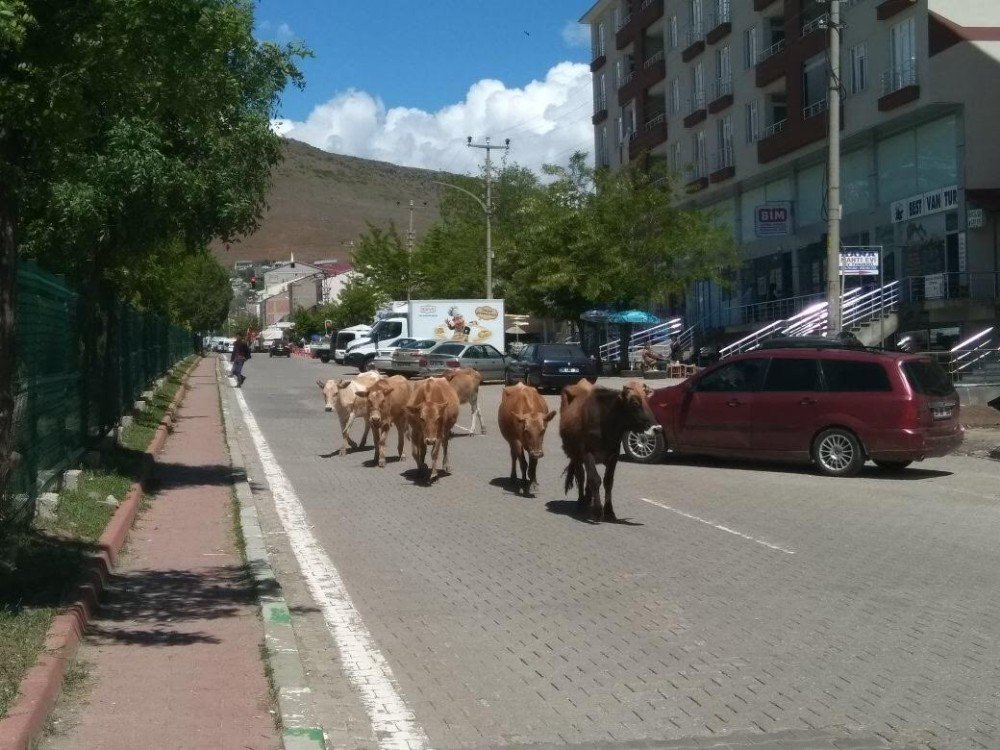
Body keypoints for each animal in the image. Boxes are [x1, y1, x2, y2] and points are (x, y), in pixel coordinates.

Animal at [560, 382, 660, 524]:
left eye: (647, 401)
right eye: (634, 403)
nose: (657, 428)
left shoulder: (614, 454)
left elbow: (608, 481)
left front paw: (609, 512)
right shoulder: (587, 453)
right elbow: (595, 479)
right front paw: (597, 512)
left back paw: (588, 500)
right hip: (574, 454)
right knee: (581, 476)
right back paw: (581, 503)